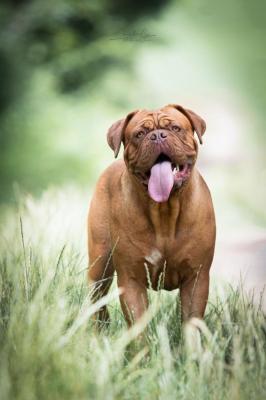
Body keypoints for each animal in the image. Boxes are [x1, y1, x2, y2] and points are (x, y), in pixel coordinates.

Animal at [88, 104, 216, 326]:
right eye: (139, 134)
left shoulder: (196, 277)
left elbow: (191, 321)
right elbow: (138, 325)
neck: (164, 211)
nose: (157, 136)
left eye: (175, 128)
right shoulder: (131, 279)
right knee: (96, 300)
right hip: (100, 263)